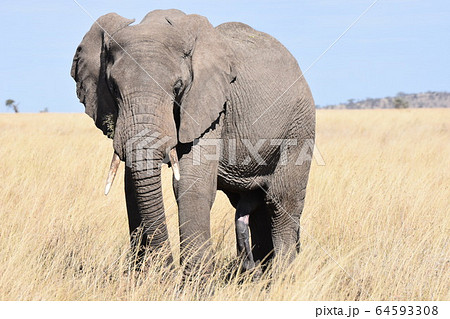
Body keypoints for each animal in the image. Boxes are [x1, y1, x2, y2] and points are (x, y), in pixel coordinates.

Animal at [72, 10, 314, 276]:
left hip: (299, 125)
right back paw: (261, 275)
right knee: (256, 208)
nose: (165, 269)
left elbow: (190, 183)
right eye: (114, 88)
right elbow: (132, 186)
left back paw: (281, 276)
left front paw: (195, 283)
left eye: (177, 87)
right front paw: (141, 277)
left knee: (281, 201)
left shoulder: (211, 106)